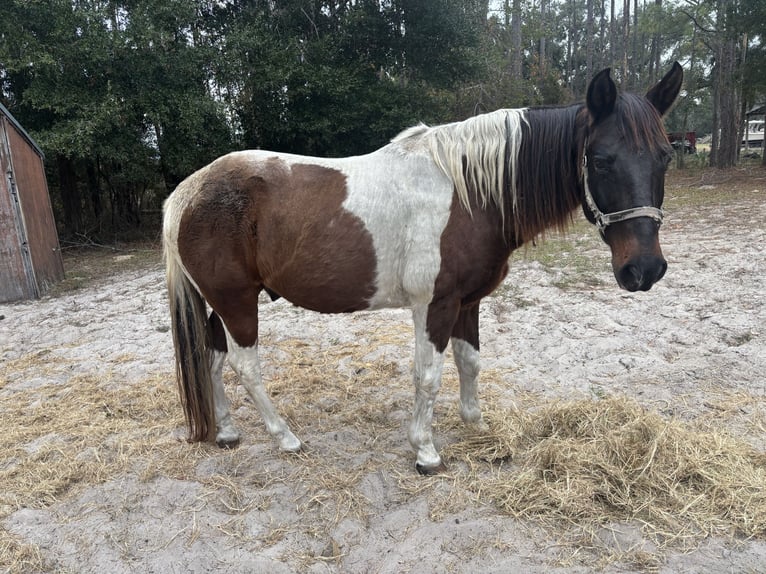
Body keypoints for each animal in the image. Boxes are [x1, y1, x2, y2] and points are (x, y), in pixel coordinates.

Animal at [162, 63, 683, 474]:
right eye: (601, 160)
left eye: (665, 156)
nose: (645, 269)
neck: (470, 194)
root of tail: (189, 191)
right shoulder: (434, 304)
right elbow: (428, 376)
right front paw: (426, 452)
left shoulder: (468, 302)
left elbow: (470, 362)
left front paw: (477, 426)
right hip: (237, 304)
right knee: (245, 367)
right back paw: (285, 437)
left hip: (221, 304)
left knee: (212, 359)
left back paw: (227, 431)